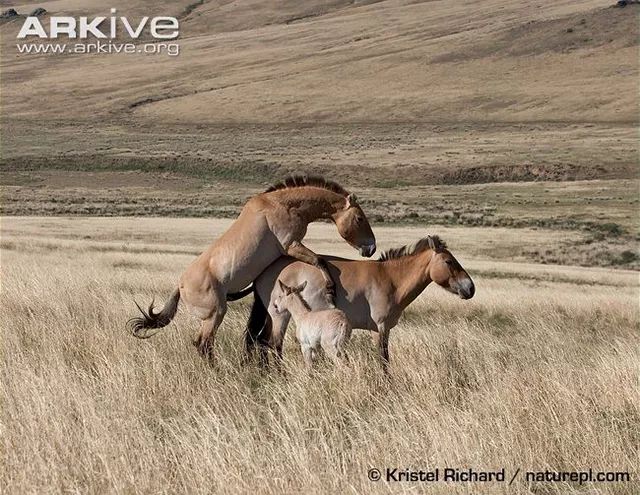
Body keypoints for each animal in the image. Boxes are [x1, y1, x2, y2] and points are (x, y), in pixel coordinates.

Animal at [128, 176, 378, 362]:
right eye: (359, 218)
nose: (371, 248)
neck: (284, 204)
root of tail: (180, 285)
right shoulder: (291, 245)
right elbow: (319, 261)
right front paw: (330, 289)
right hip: (215, 314)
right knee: (203, 344)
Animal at [245, 236, 476, 372]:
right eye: (449, 262)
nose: (470, 288)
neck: (390, 279)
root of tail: (265, 271)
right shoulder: (379, 329)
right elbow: (383, 360)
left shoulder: (384, 330)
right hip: (280, 316)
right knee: (274, 344)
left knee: (262, 342)